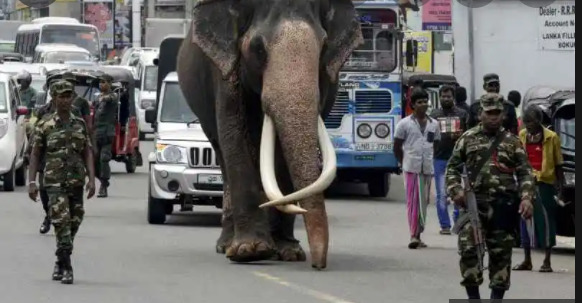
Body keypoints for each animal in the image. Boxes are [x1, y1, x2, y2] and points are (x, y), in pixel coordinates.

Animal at [176, 0, 362, 270]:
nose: (318, 264)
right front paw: (249, 251)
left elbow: (281, 156)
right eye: (258, 48)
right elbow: (233, 133)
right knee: (221, 153)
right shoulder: (223, 70)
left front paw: (288, 252)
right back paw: (226, 244)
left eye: (324, 46)